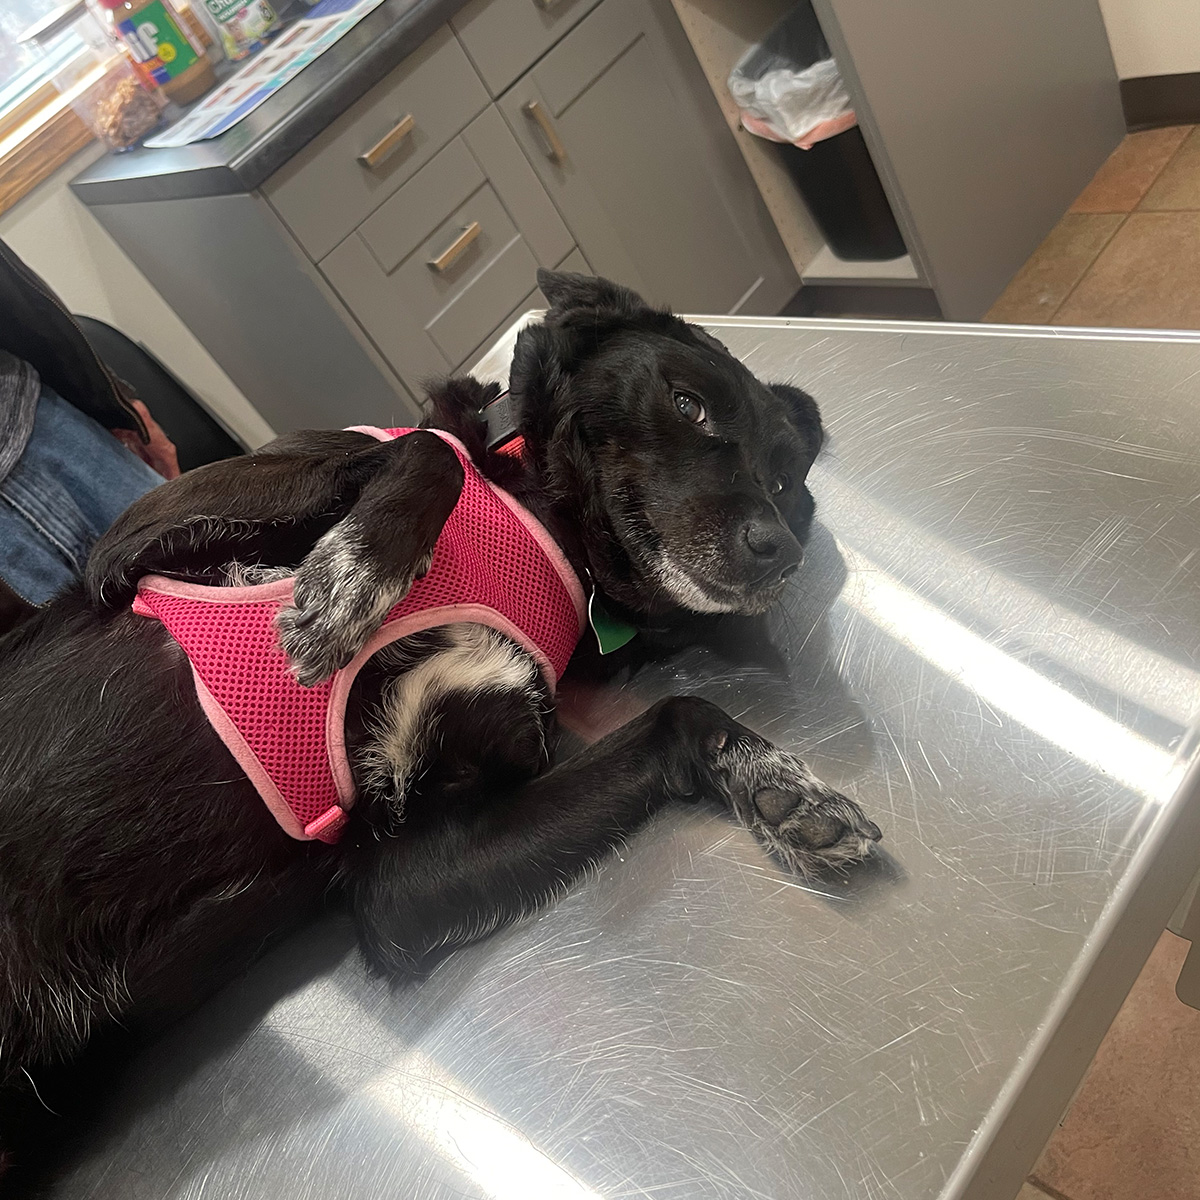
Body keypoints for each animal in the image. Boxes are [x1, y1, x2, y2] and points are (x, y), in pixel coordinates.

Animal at [0, 272, 883, 1180]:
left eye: (787, 481)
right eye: (688, 404)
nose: (778, 549)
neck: (548, 530)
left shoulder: (402, 878)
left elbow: (676, 717)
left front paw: (779, 785)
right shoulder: (124, 542)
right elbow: (425, 451)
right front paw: (351, 582)